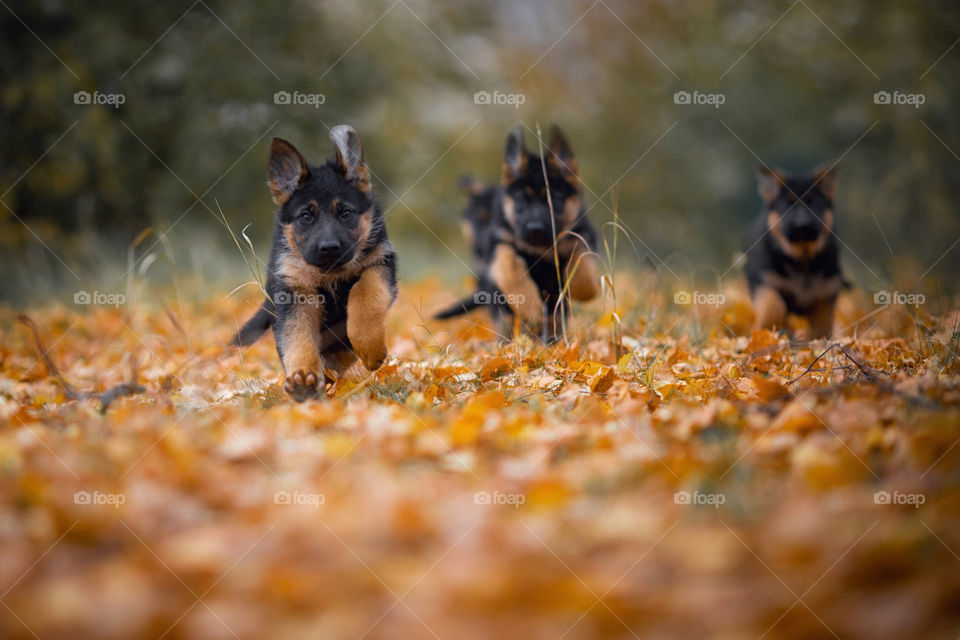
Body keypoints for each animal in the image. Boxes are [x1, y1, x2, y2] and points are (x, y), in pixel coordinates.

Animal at [232, 126, 398, 400]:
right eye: (306, 216)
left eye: (345, 213)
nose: (329, 247)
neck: (329, 274)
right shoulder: (294, 294)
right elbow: (298, 338)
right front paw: (303, 378)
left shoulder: (380, 263)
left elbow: (365, 294)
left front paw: (370, 347)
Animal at [436, 124, 600, 340]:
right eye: (522, 200)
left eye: (554, 200)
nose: (535, 228)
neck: (539, 248)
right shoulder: (499, 244)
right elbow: (510, 267)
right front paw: (530, 308)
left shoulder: (583, 233)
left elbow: (583, 257)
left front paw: (585, 289)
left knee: (553, 317)